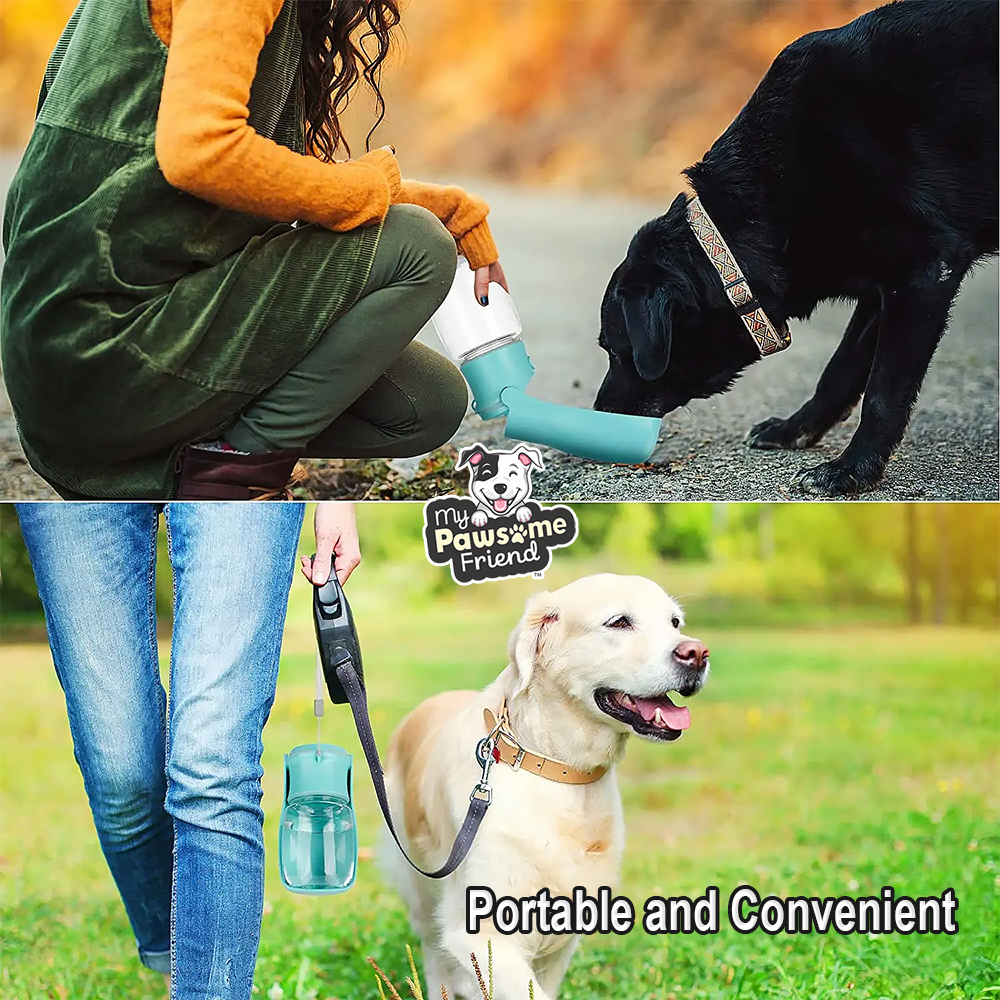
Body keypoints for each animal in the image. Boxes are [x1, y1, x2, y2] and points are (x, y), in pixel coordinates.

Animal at [378, 572, 708, 1000]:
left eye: (675, 623)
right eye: (619, 622)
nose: (697, 653)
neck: (559, 770)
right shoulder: (479, 930)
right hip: (419, 886)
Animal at [596, 0, 996, 498]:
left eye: (615, 351)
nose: (596, 417)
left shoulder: (925, 272)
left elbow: (883, 391)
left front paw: (853, 469)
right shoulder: (884, 285)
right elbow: (839, 370)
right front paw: (797, 429)